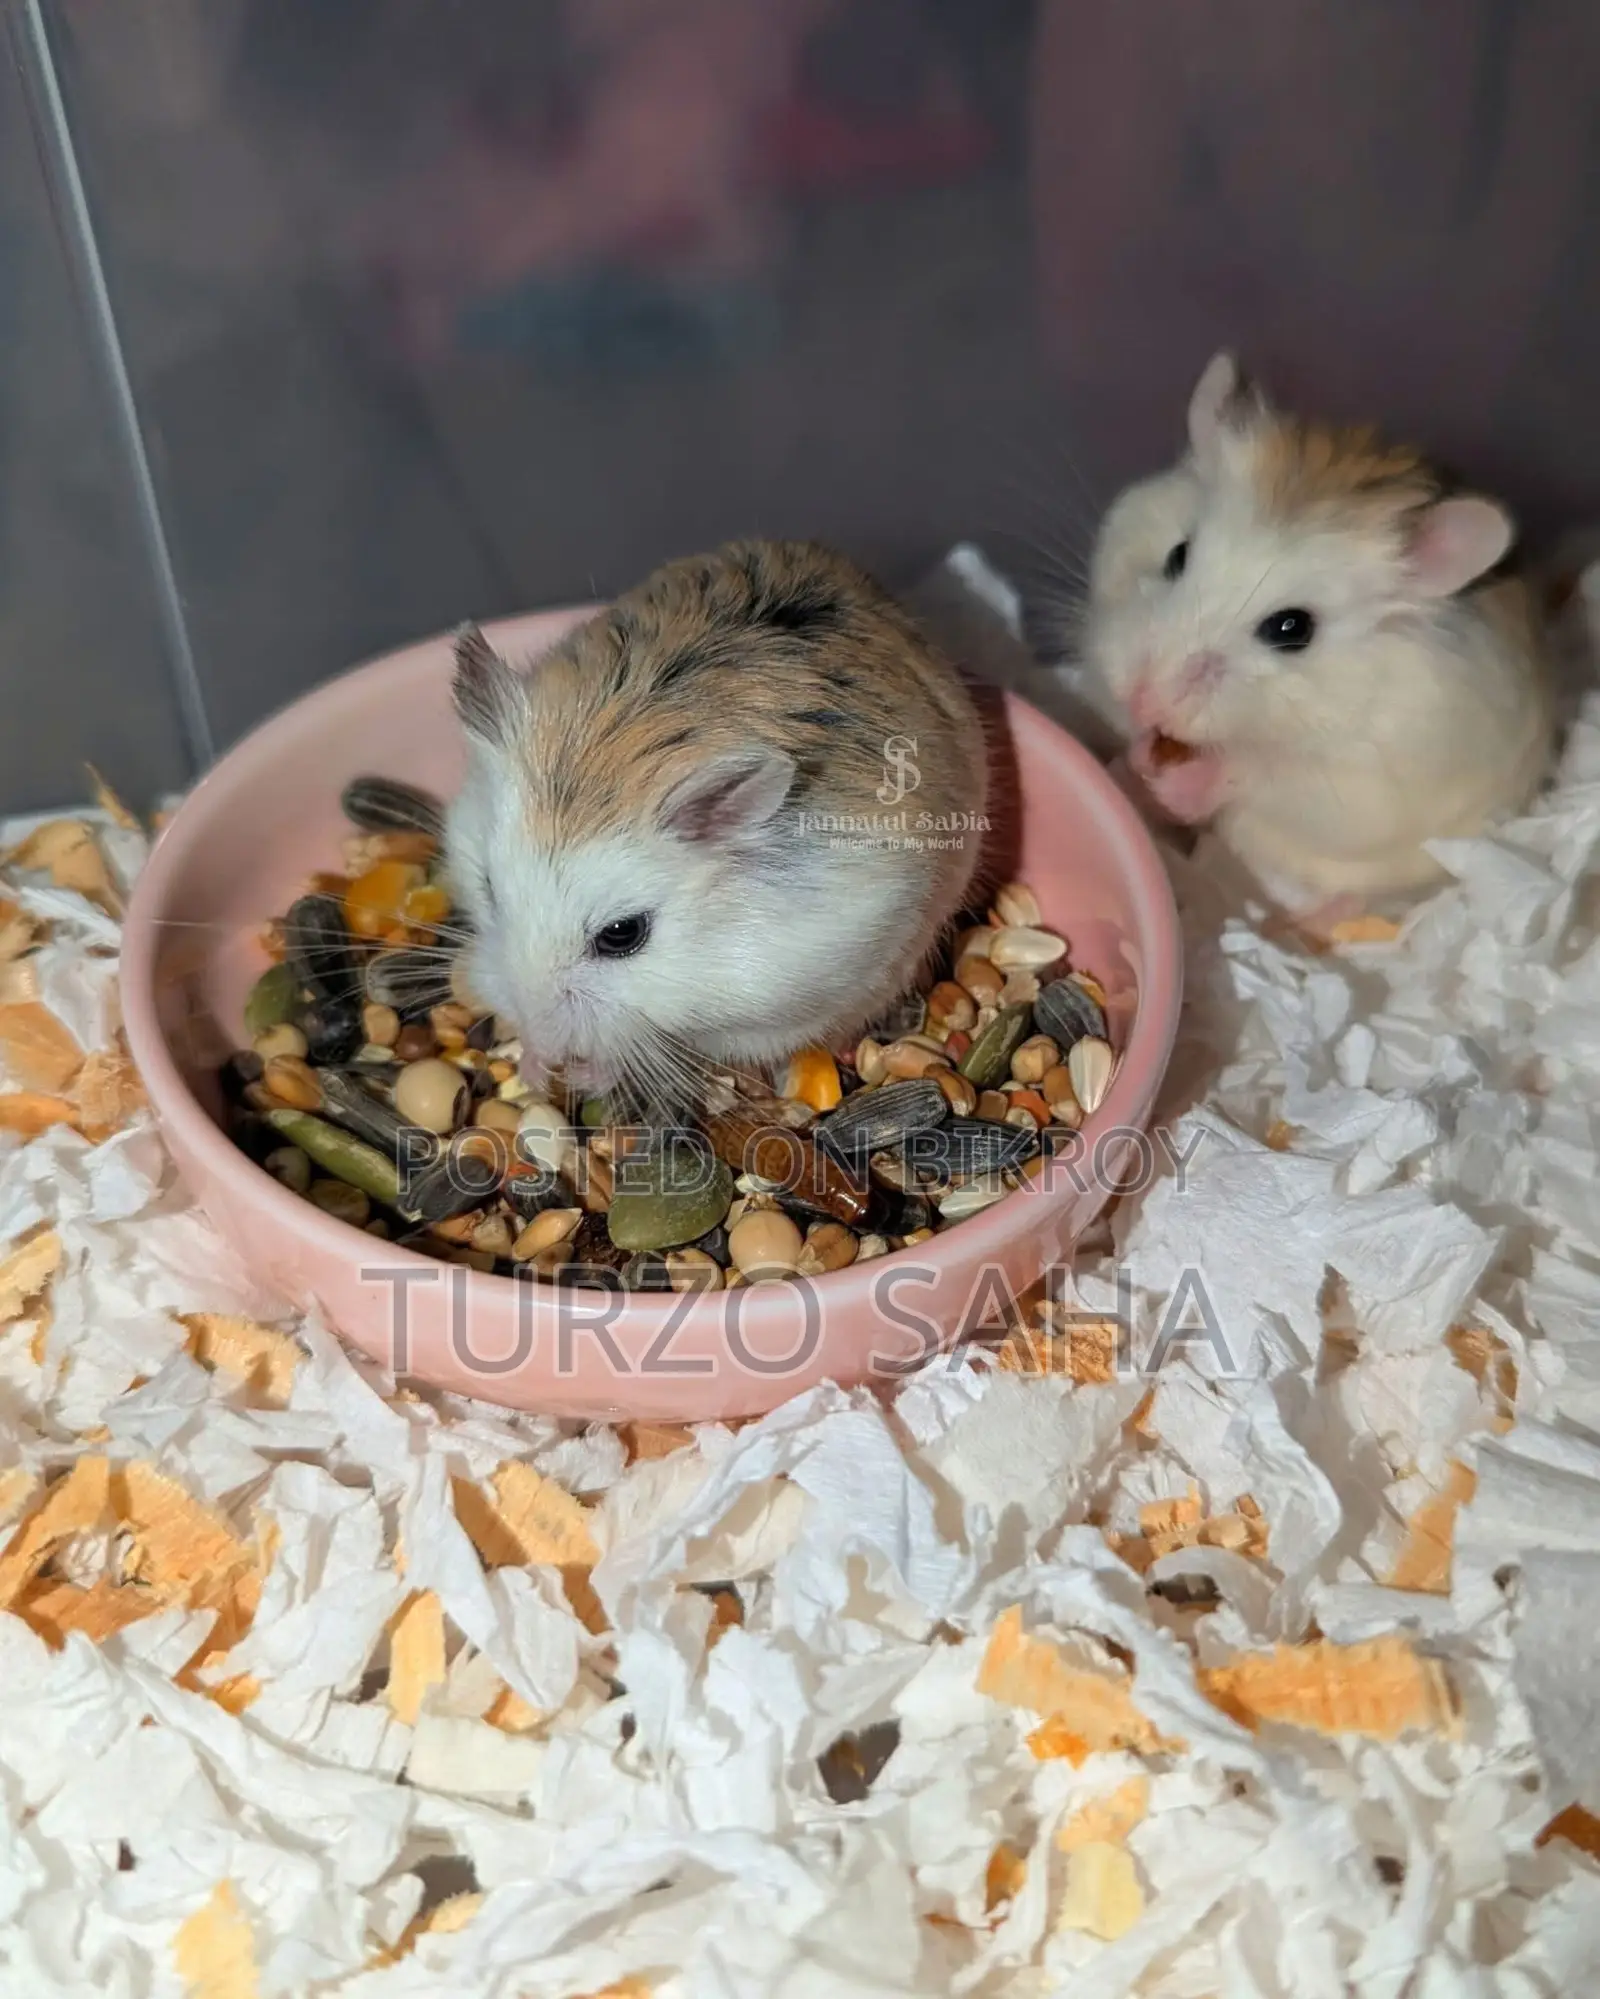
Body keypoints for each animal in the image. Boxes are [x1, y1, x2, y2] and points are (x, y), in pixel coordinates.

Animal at [1082, 352, 1555, 911]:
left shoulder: (1365, 779)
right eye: (1178, 555)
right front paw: (1139, 752)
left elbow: (1262, 777)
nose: (1143, 699)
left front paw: (1184, 780)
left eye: (1292, 628)